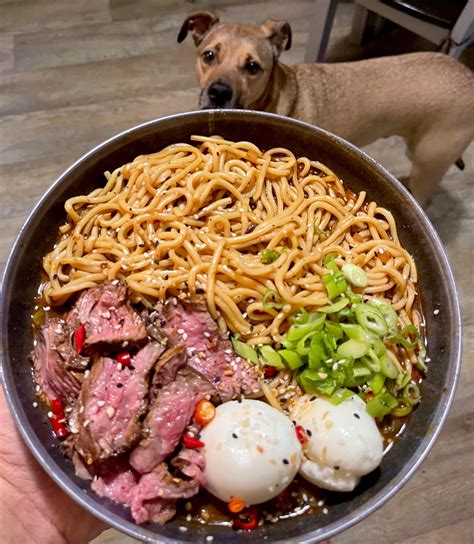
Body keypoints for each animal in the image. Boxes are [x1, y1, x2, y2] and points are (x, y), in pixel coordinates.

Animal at [178, 11, 474, 205]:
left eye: (252, 67)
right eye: (209, 55)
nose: (218, 93)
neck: (276, 94)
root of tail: (468, 74)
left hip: (429, 160)